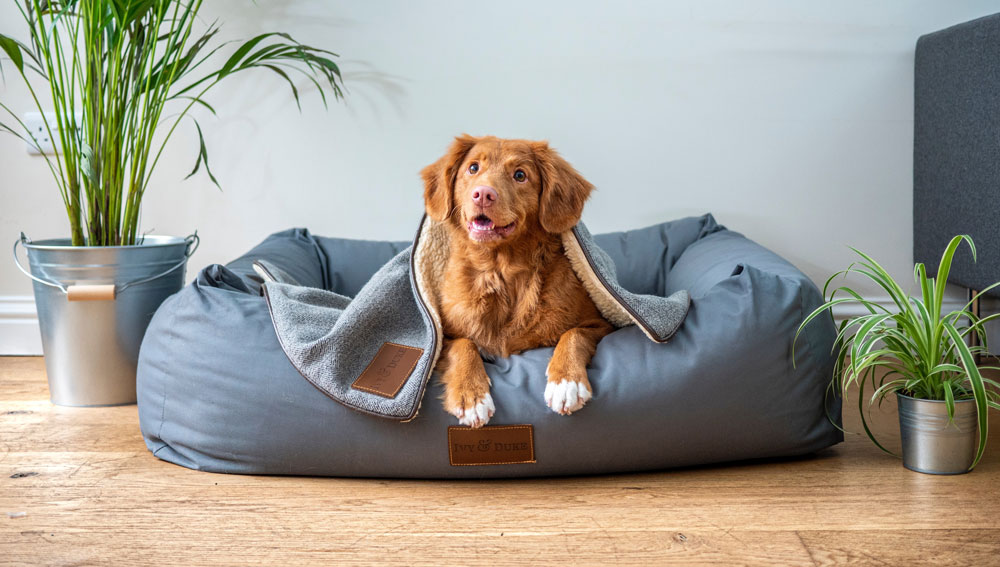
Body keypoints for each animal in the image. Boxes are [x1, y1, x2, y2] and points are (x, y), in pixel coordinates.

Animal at [418, 135, 612, 428]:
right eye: (473, 168)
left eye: (520, 175)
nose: (483, 194)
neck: (501, 271)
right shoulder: (442, 336)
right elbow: (464, 345)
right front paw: (471, 395)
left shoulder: (601, 324)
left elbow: (574, 334)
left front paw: (566, 382)